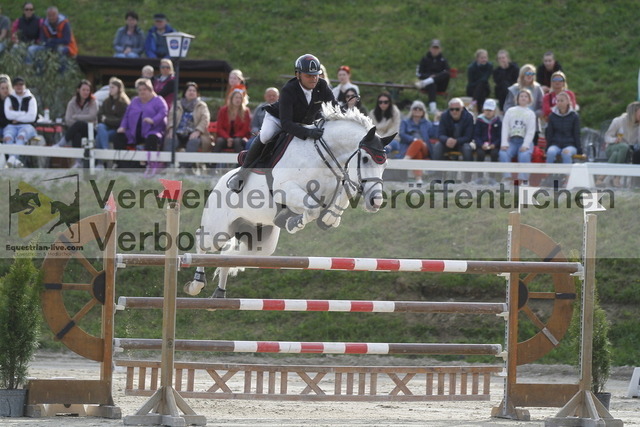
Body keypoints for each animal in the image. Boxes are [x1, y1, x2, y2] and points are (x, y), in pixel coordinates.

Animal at [184, 103, 395, 298]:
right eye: (365, 159)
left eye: (384, 164)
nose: (375, 201)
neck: (323, 156)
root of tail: (218, 183)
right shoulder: (285, 189)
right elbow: (311, 207)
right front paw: (295, 222)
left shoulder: (340, 181)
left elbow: (338, 197)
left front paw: (328, 219)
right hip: (218, 230)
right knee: (202, 240)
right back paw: (196, 284)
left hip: (260, 245)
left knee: (229, 256)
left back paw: (219, 292)